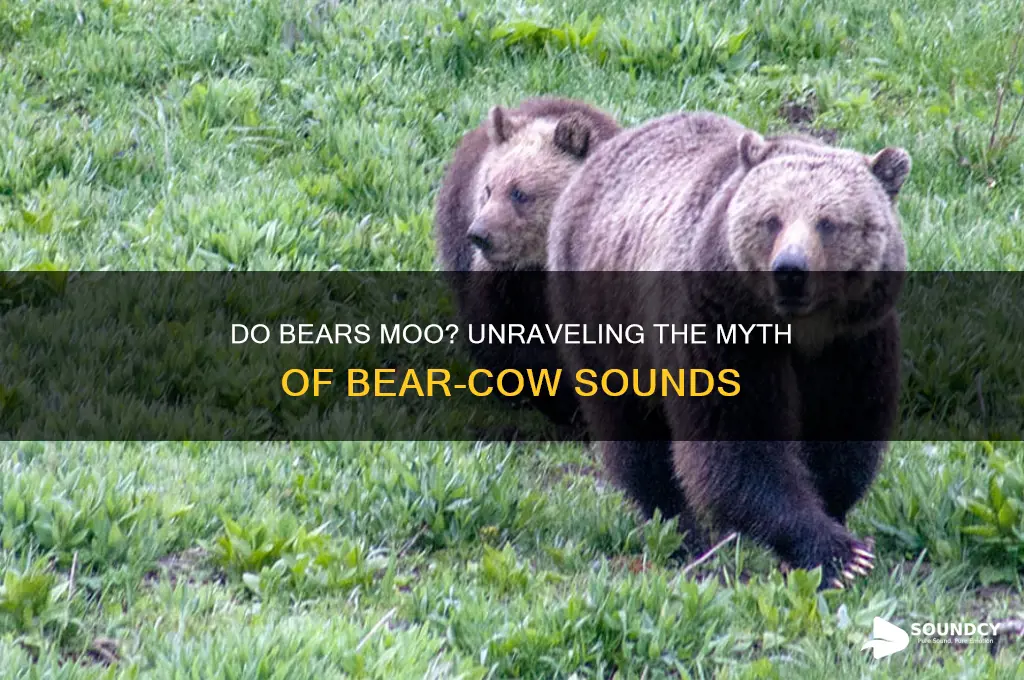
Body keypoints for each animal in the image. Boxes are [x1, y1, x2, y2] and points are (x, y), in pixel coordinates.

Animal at [546, 111, 911, 589]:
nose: (790, 271)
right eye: (772, 219)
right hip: (601, 315)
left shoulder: (856, 339)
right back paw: (680, 532)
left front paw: (836, 525)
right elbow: (736, 440)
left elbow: (844, 429)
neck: (799, 330)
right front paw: (838, 554)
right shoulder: (720, 325)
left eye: (829, 222)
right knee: (634, 433)